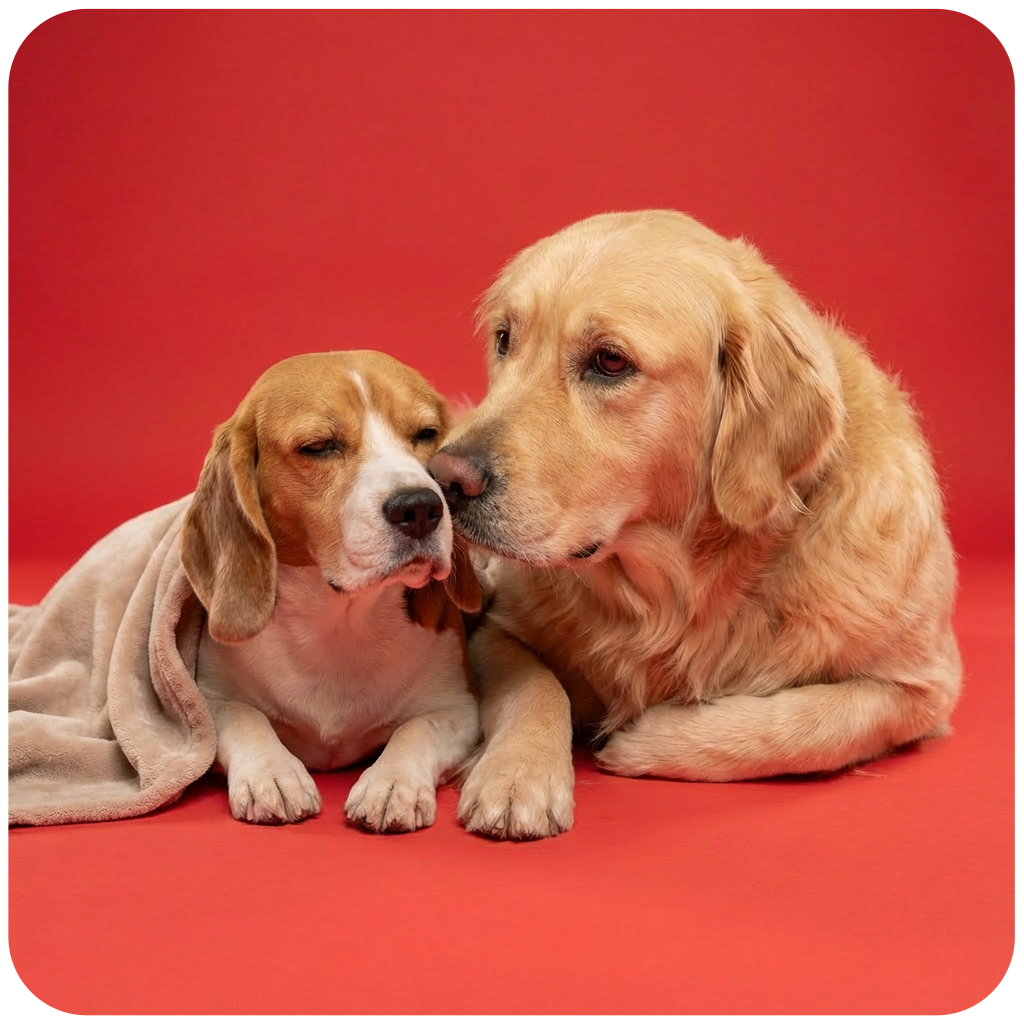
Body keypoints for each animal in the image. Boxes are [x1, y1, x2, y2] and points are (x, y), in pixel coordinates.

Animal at [180, 351, 482, 831]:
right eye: (319, 446)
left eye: (426, 434)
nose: (420, 507)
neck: (339, 620)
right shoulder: (205, 700)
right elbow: (244, 716)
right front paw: (273, 772)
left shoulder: (457, 708)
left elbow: (418, 729)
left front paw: (392, 783)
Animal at [430, 209, 961, 840]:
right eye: (505, 339)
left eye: (610, 361)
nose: (446, 479)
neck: (677, 594)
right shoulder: (497, 630)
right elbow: (535, 688)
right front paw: (517, 774)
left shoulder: (921, 684)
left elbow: (811, 726)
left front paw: (642, 739)